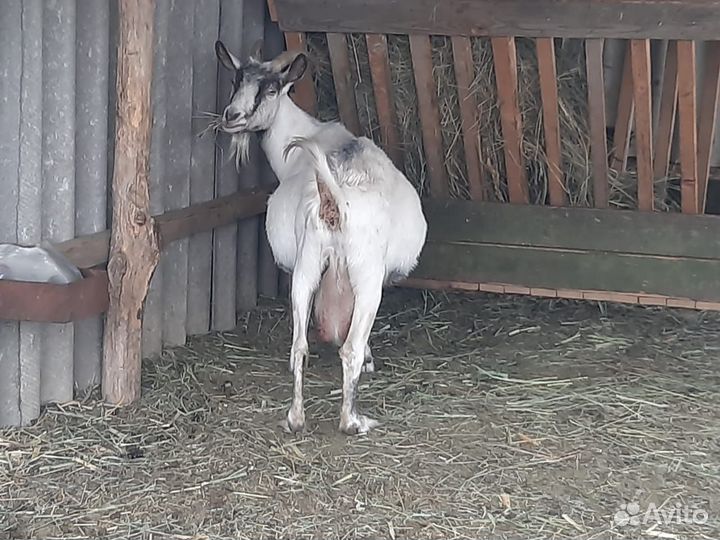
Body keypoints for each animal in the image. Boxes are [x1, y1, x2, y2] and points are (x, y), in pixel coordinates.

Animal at [214, 41, 427, 435]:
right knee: (350, 348)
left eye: (269, 89)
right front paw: (371, 360)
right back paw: (353, 420)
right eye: (236, 80)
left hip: (307, 263)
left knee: (299, 346)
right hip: (366, 274)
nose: (232, 115)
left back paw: (296, 418)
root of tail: (334, 200)